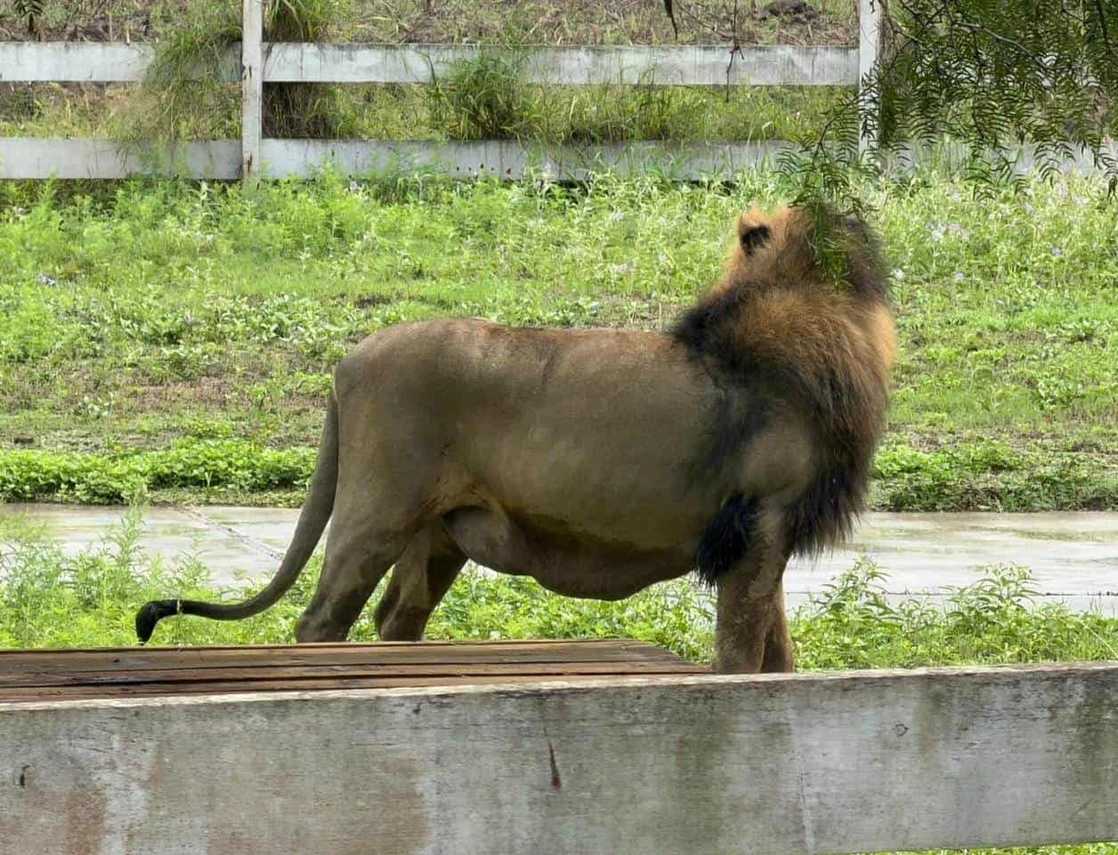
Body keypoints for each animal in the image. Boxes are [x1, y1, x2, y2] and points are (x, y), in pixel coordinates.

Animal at [136, 204, 896, 673]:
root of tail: (346, 362)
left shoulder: (767, 532)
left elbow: (778, 653)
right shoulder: (757, 520)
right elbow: (741, 653)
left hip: (438, 533)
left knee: (396, 618)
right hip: (375, 511)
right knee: (322, 620)